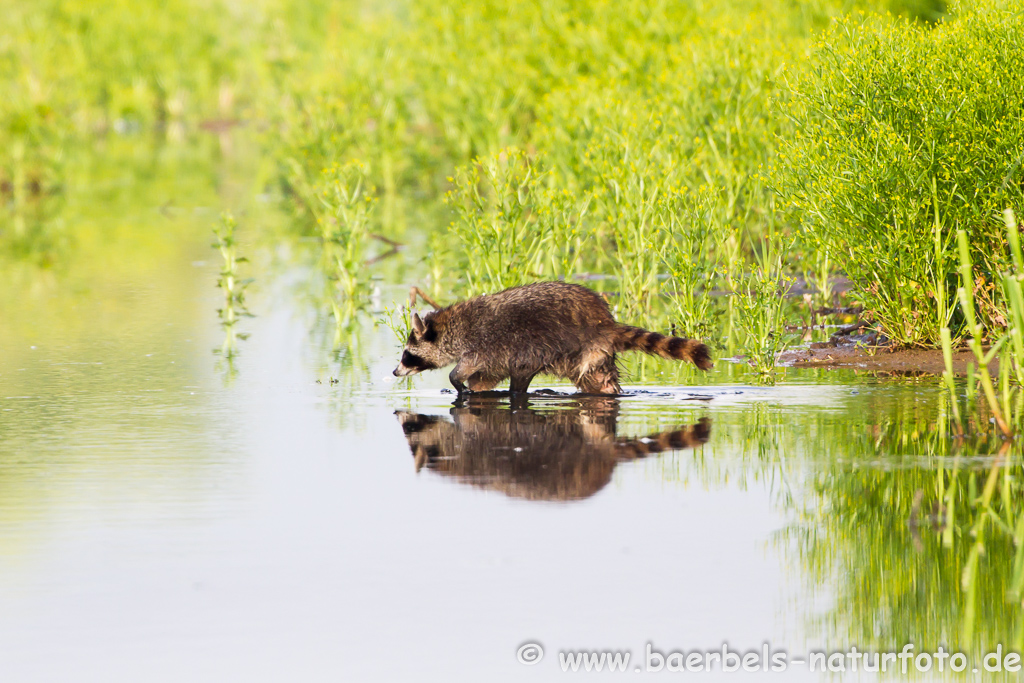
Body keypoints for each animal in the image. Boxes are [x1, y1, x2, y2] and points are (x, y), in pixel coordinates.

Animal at [391, 278, 712, 395]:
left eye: (408, 355)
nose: (395, 372)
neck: (450, 327)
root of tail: (604, 322)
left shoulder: (482, 343)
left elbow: (466, 368)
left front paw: (457, 382)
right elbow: (484, 379)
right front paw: (474, 388)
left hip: (558, 345)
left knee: (523, 372)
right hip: (591, 357)